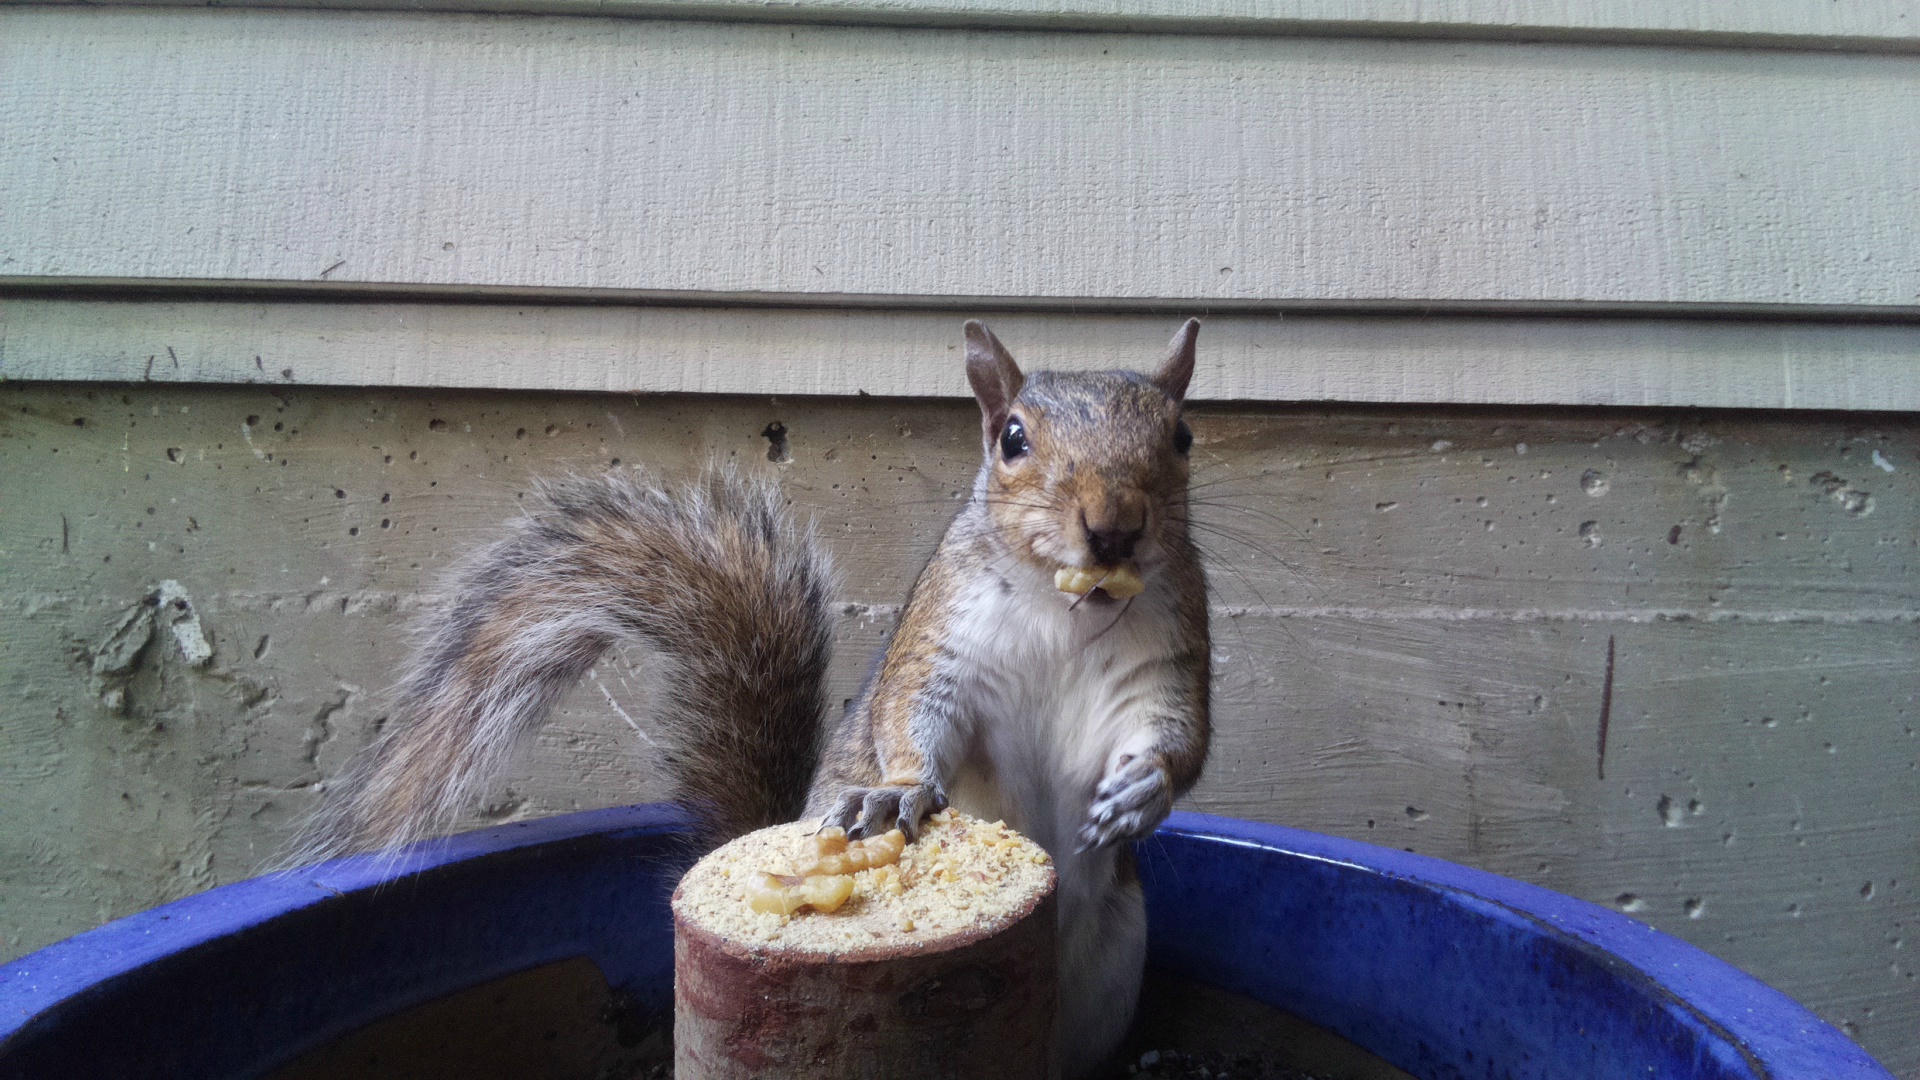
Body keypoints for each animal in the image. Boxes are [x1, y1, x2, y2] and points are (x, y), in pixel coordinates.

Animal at [294, 318, 1211, 1076]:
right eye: (1013, 438)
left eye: (1182, 436)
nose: (1114, 526)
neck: (1067, 610)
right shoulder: (938, 645)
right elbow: (911, 720)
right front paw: (898, 794)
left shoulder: (1167, 661)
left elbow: (1180, 739)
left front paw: (1141, 791)